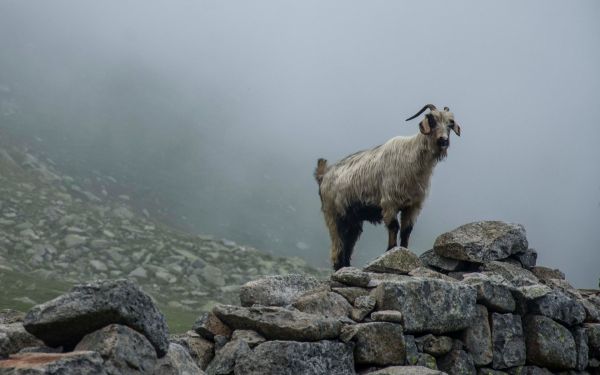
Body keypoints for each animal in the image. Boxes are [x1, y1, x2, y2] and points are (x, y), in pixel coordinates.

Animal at [316, 105, 462, 270]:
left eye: (450, 124)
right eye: (431, 120)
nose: (443, 141)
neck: (412, 157)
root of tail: (323, 175)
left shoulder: (413, 205)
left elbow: (406, 231)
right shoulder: (389, 203)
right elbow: (394, 227)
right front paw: (391, 252)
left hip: (353, 219)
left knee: (348, 243)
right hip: (333, 215)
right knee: (337, 247)